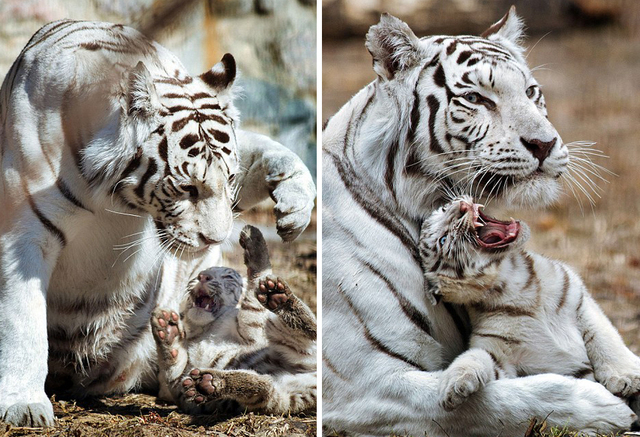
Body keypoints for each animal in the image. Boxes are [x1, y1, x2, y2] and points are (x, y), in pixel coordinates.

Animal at [152, 225, 318, 416]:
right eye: (197, 276)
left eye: (227, 277)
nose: (203, 276)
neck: (204, 329)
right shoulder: (180, 387)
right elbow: (173, 364)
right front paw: (167, 329)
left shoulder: (254, 330)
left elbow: (253, 295)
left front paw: (253, 238)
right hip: (276, 399)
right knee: (265, 387)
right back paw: (209, 383)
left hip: (277, 329)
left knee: (311, 329)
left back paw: (278, 296)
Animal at [418, 197, 640, 412]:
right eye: (443, 240)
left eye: (445, 208)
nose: (462, 206)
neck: (513, 280)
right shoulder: (499, 355)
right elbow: (474, 357)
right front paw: (453, 385)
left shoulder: (581, 303)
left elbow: (606, 339)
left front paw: (625, 378)